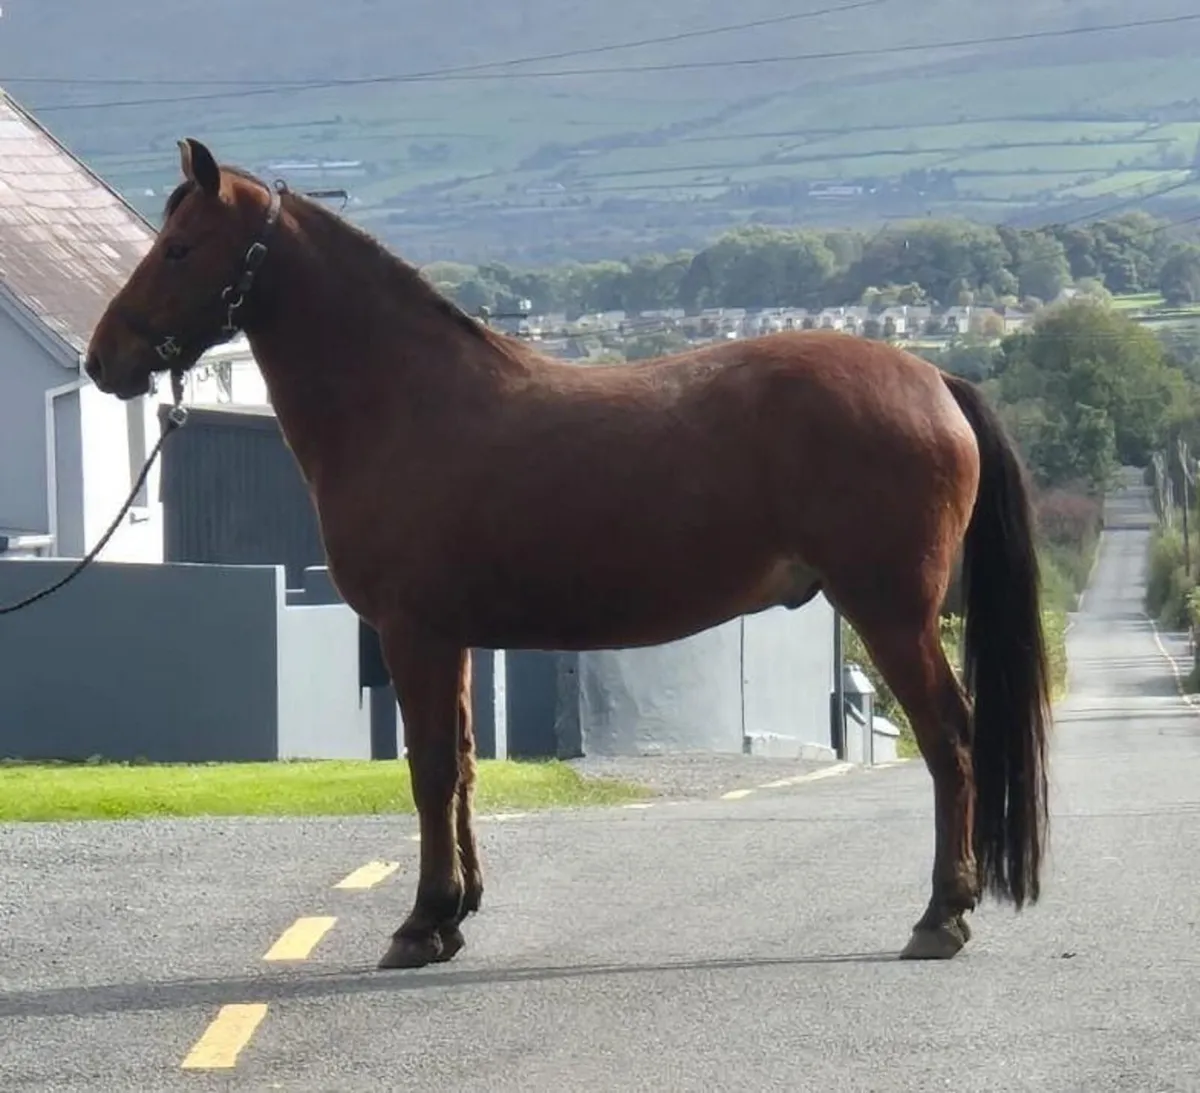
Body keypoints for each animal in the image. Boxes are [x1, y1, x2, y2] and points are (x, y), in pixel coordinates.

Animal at [84, 138, 1051, 970]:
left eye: (179, 247)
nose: (105, 358)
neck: (405, 401)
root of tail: (934, 379)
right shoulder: (450, 638)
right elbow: (463, 763)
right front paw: (455, 911)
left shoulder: (412, 633)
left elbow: (430, 769)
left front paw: (421, 921)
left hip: (891, 613)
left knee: (950, 739)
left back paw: (941, 913)